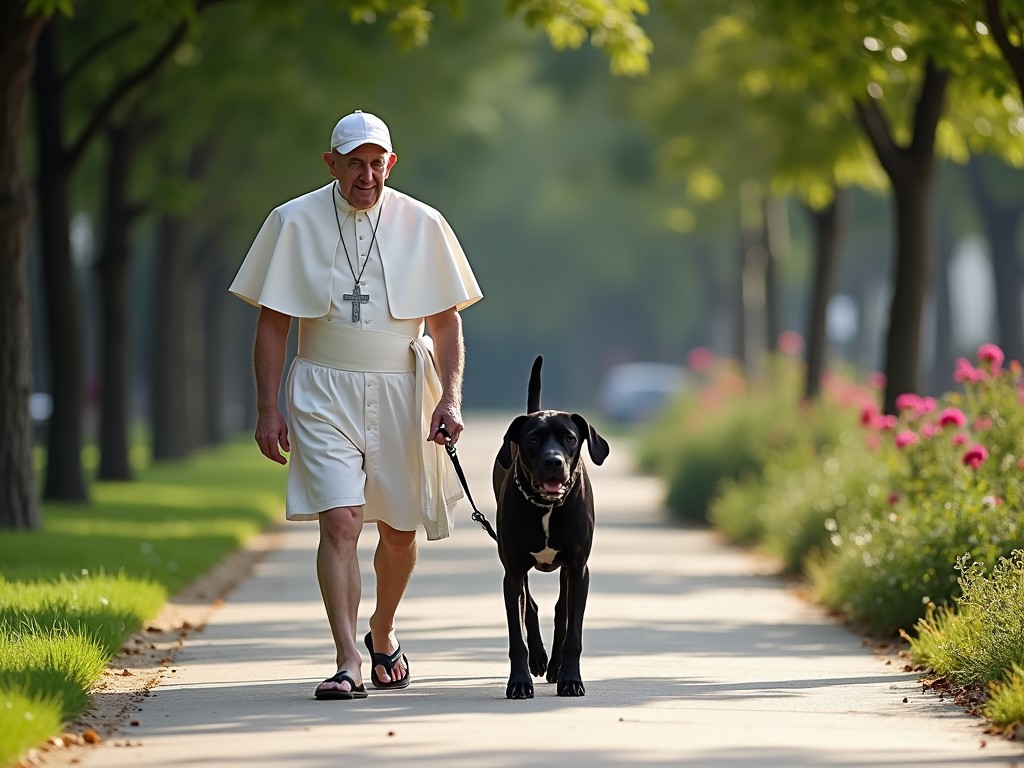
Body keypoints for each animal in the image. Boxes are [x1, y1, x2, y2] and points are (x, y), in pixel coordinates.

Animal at [493, 358, 606, 700]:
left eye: (569, 438)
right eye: (533, 439)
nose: (554, 461)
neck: (547, 506)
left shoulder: (578, 568)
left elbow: (573, 632)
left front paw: (570, 678)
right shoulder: (513, 571)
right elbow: (517, 636)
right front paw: (519, 682)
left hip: (568, 572)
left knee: (561, 611)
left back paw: (555, 665)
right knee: (529, 606)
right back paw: (540, 659)